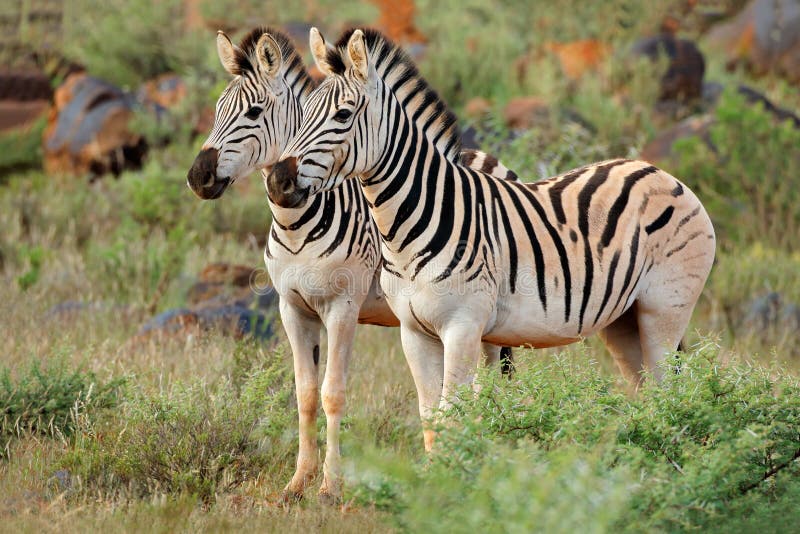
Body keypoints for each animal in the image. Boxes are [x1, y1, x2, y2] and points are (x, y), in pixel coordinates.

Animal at [185, 25, 516, 502]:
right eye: (216, 111)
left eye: (253, 111)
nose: (198, 178)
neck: (296, 224)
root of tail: (485, 158)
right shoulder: (292, 308)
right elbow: (305, 394)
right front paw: (297, 482)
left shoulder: (341, 308)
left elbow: (333, 393)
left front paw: (329, 486)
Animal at [272, 28, 716, 452]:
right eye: (303, 113)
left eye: (343, 114)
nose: (278, 181)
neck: (406, 230)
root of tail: (659, 172)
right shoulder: (413, 332)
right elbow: (430, 420)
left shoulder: (463, 326)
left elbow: (452, 416)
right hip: (623, 319)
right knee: (648, 392)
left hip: (664, 308)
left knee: (670, 390)